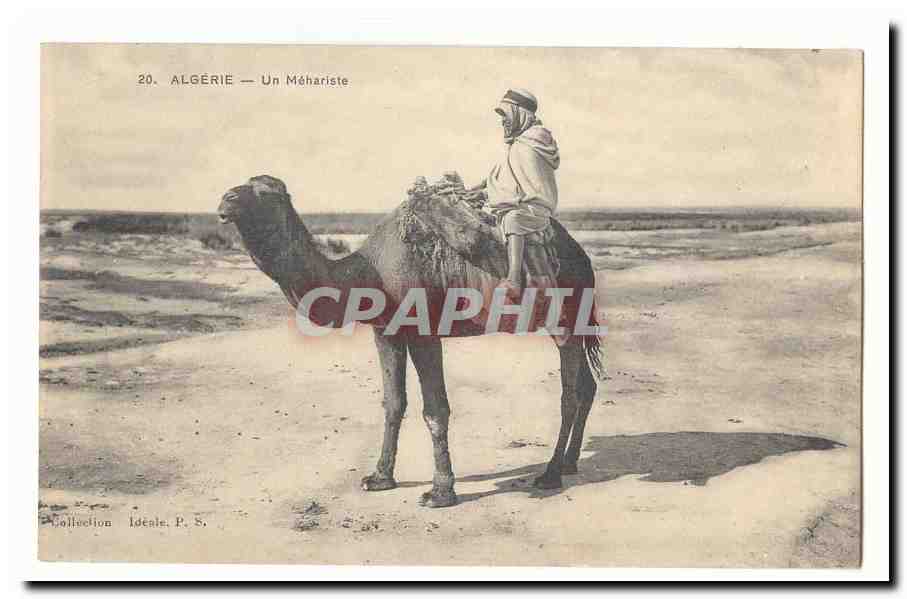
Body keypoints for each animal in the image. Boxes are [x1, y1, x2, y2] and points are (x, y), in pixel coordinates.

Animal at [218, 175, 603, 508]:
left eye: (267, 193)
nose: (226, 200)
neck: (368, 273)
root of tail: (582, 257)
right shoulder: (386, 331)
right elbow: (393, 403)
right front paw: (379, 477)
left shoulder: (423, 331)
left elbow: (435, 409)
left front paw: (440, 492)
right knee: (587, 385)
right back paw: (569, 462)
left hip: (566, 318)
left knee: (569, 394)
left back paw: (550, 473)